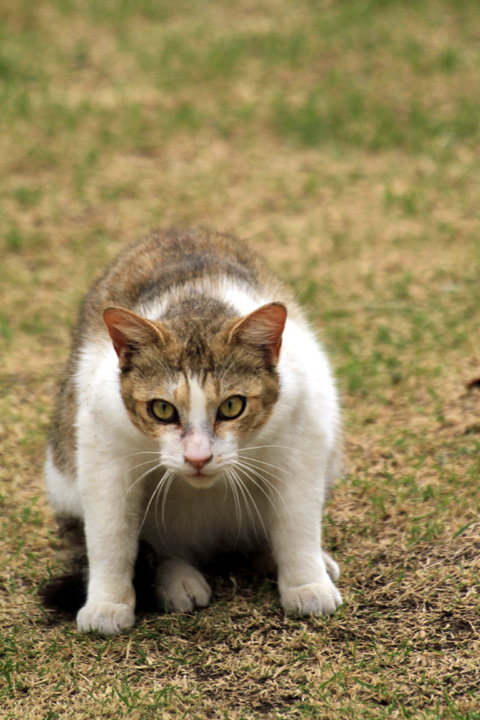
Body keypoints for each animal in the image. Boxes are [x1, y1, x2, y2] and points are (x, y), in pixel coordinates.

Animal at [44, 228, 342, 632]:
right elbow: (111, 533)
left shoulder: (305, 430)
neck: (195, 303)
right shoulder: (102, 446)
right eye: (162, 409)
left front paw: (306, 583)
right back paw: (176, 578)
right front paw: (107, 603)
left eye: (232, 406)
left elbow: (297, 519)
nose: (198, 457)